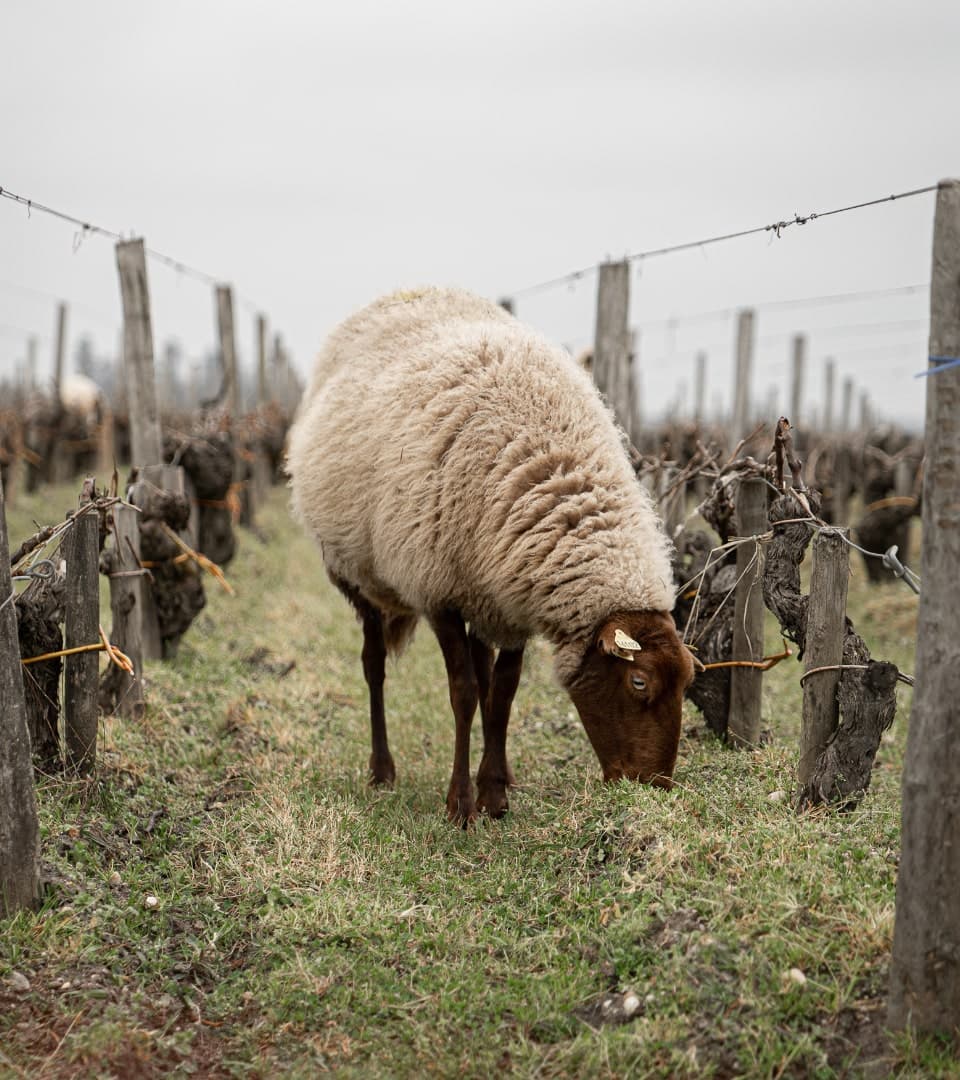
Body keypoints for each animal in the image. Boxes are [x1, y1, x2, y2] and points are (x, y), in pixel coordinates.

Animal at [287, 287, 694, 823]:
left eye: (689, 680)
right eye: (639, 682)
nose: (656, 786)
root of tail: (398, 295)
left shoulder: (513, 595)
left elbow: (501, 694)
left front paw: (495, 793)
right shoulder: (438, 593)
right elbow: (462, 694)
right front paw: (460, 804)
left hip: (481, 590)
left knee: (482, 674)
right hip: (358, 574)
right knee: (373, 664)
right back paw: (381, 770)